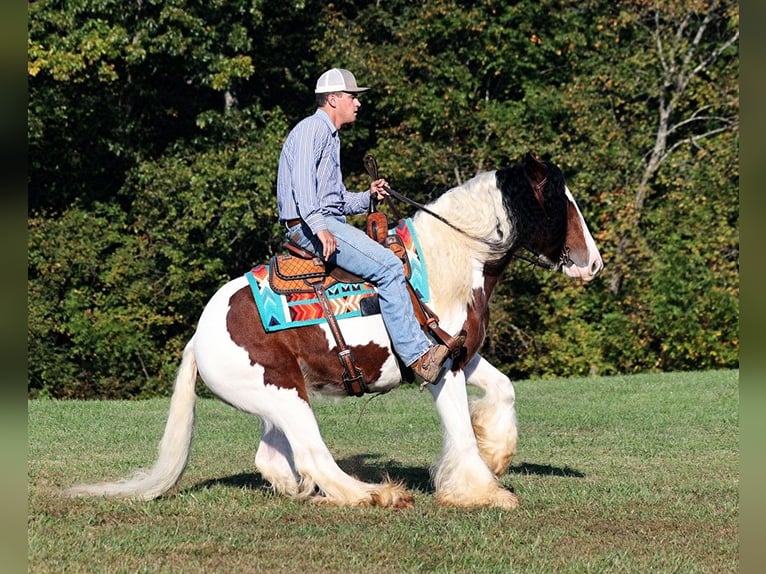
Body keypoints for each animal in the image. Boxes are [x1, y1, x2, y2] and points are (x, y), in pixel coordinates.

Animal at [66, 153, 608, 512]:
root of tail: (199, 339)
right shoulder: (440, 370)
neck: (448, 263)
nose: (594, 264)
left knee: (274, 458)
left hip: (278, 401)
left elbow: (504, 388)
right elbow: (459, 430)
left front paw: (496, 455)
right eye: (558, 204)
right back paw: (376, 493)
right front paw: (482, 490)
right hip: (286, 397)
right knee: (313, 455)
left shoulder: (462, 356)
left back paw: (303, 490)